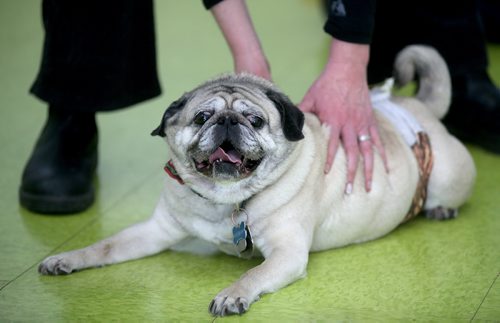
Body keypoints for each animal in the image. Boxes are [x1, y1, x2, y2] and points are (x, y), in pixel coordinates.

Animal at [39, 45, 476, 316]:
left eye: (255, 120)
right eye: (202, 117)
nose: (228, 121)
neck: (227, 201)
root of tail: (415, 104)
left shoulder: (286, 253)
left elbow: (253, 273)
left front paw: (233, 294)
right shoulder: (154, 231)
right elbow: (105, 246)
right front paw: (68, 258)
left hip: (447, 175)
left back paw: (441, 208)